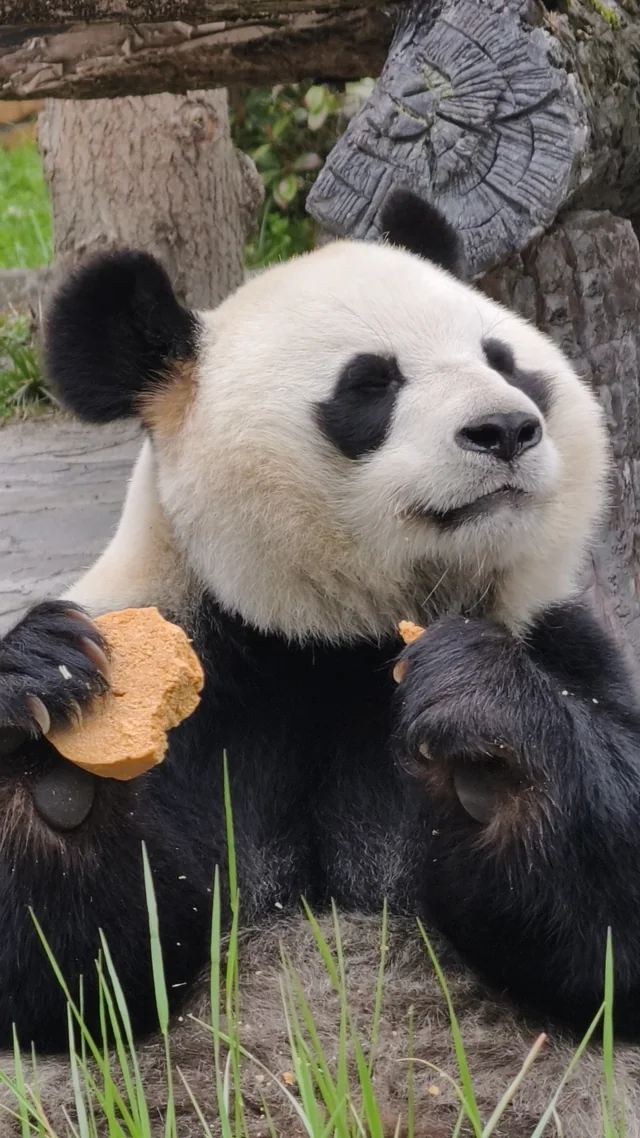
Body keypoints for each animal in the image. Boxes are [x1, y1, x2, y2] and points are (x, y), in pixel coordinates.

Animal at [2, 189, 640, 1136]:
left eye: (506, 361)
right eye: (370, 384)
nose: (507, 429)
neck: (335, 639)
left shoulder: (565, 644)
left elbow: (608, 939)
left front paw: (484, 718)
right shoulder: (209, 663)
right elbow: (76, 986)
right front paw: (52, 739)